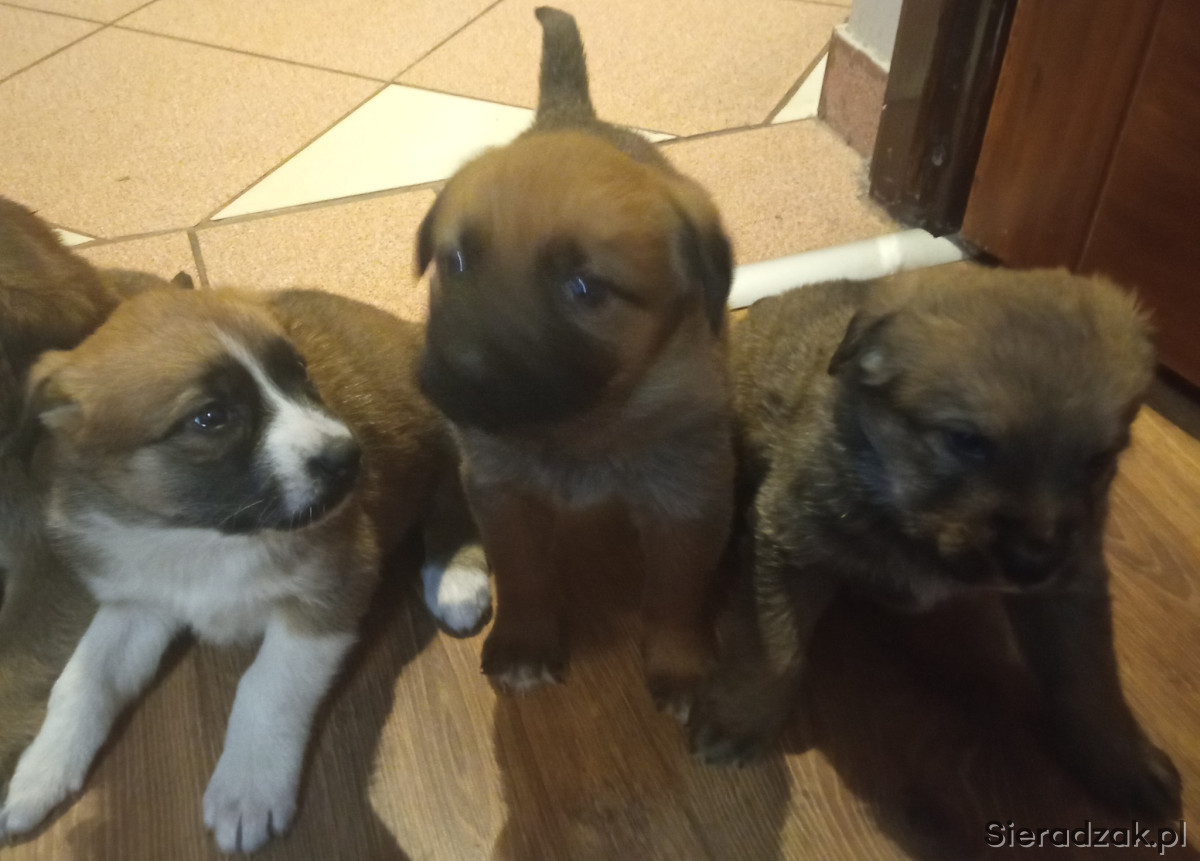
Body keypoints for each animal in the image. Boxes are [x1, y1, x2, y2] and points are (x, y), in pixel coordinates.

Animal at [0, 286, 488, 852]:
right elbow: (82, 681)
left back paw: (458, 577)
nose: (351, 458)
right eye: (211, 417)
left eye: (299, 370)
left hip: (448, 432)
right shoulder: (139, 602)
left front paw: (249, 786)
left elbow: (268, 686)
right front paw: (39, 772)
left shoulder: (334, 583)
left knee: (457, 492)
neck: (204, 535)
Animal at [415, 7, 735, 714]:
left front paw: (679, 665)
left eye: (585, 289)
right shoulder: (501, 491)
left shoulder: (686, 496)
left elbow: (675, 593)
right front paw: (526, 642)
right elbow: (523, 574)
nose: (455, 375)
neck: (582, 427)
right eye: (456, 262)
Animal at [689, 264, 1182, 819]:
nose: (1034, 560)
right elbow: (772, 644)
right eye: (966, 442)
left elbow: (1089, 679)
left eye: (1098, 461)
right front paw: (739, 716)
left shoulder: (1070, 585)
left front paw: (1123, 761)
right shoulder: (791, 538)